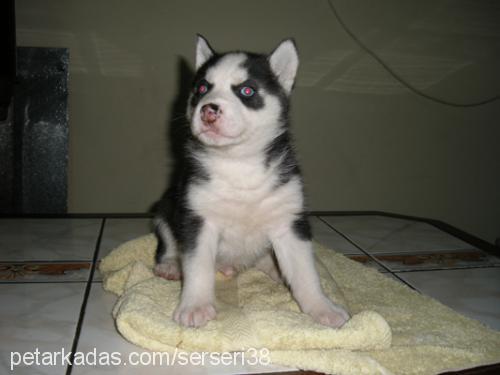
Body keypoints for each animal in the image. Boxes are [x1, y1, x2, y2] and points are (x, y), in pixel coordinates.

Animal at [154, 35, 350, 328]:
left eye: (247, 91)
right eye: (202, 88)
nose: (208, 110)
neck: (239, 162)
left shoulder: (289, 218)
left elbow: (305, 272)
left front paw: (321, 307)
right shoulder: (196, 217)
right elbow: (197, 265)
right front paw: (195, 305)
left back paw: (275, 268)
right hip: (167, 205)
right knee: (167, 238)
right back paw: (169, 264)